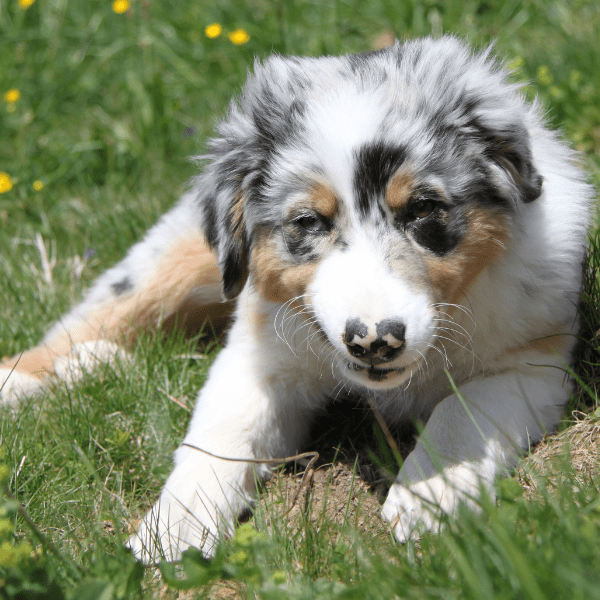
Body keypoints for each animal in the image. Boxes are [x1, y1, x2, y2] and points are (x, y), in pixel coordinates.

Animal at [0, 36, 592, 564]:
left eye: (423, 209)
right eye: (309, 222)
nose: (374, 342)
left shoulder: (529, 360)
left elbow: (460, 411)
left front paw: (430, 493)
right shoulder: (258, 358)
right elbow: (220, 437)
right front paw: (172, 527)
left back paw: (95, 365)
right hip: (179, 262)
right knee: (98, 315)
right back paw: (30, 378)